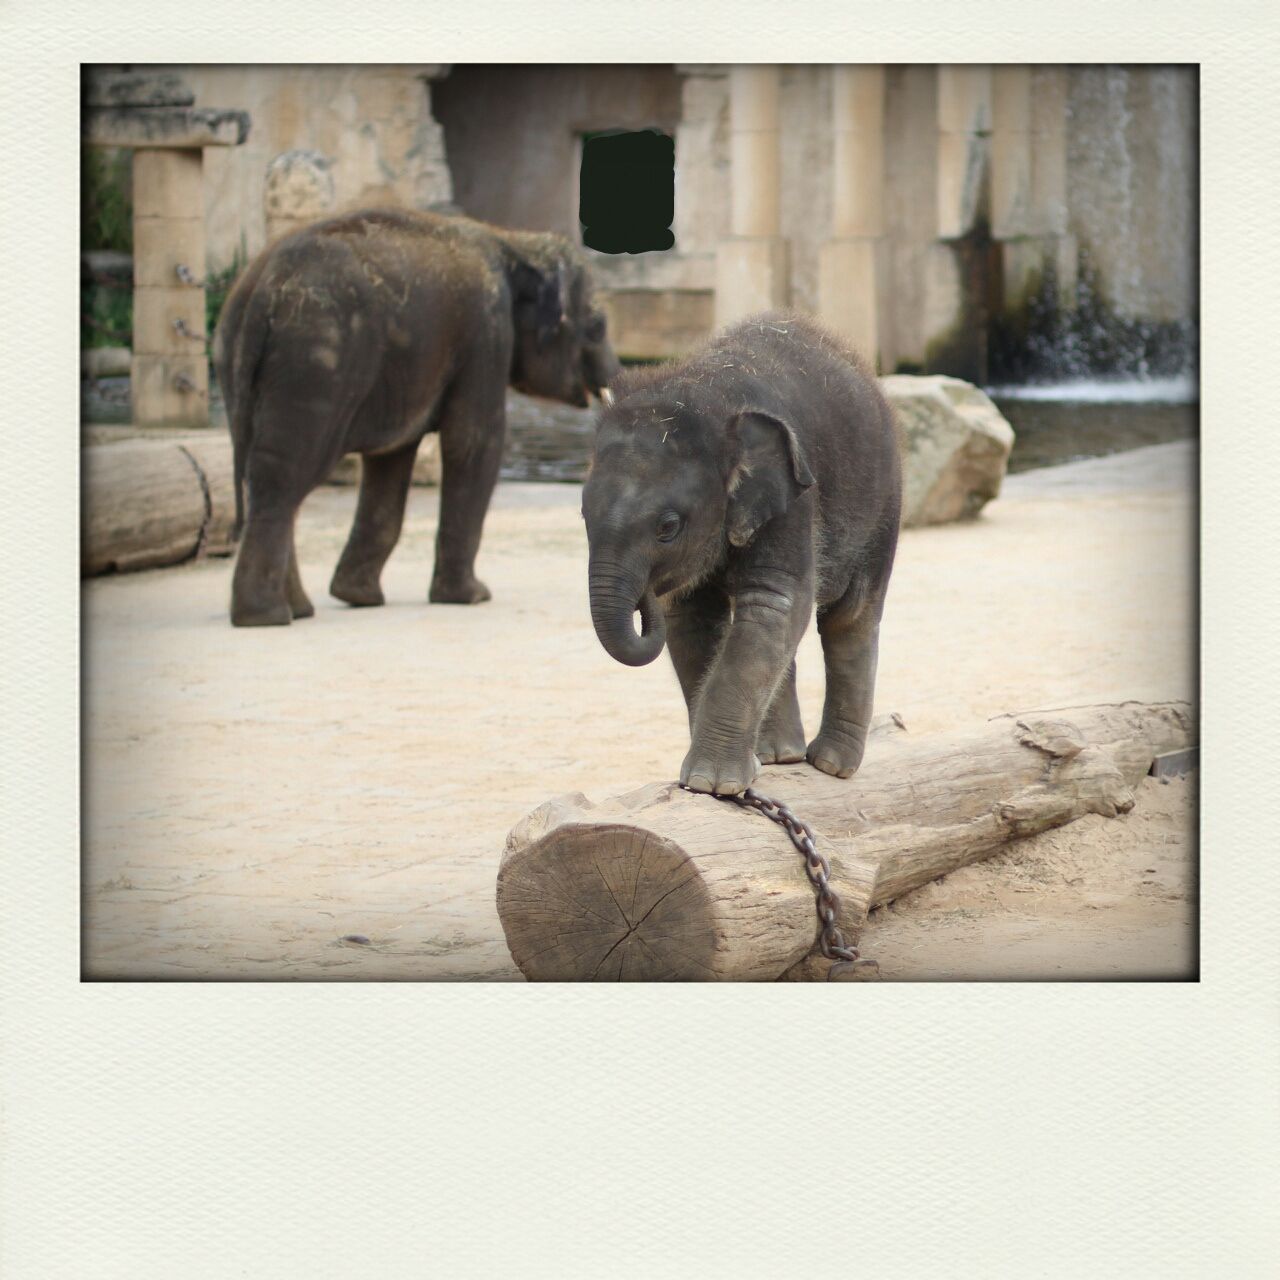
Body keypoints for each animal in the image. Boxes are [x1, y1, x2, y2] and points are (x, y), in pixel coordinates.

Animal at [213, 207, 619, 627]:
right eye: (597, 326)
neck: (510, 241)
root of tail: (260, 290)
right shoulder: (486, 330)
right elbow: (473, 441)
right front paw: (472, 597)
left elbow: (392, 459)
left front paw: (358, 597)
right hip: (314, 360)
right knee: (283, 475)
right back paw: (266, 617)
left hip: (239, 361)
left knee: (266, 473)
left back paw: (298, 610)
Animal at [581, 312, 901, 788]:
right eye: (583, 513)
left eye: (667, 527)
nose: (647, 594)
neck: (705, 389)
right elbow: (694, 620)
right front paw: (725, 778)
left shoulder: (794, 499)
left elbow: (774, 603)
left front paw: (711, 784)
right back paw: (777, 756)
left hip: (884, 507)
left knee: (851, 618)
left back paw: (831, 765)